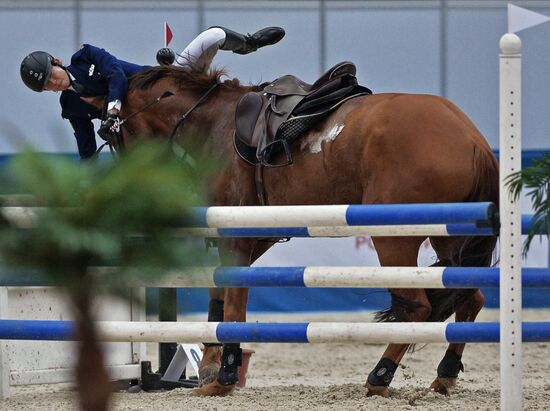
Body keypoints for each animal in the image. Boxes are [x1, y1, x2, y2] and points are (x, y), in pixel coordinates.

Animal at [110, 66, 498, 398]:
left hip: (394, 239)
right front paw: (210, 367)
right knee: (470, 298)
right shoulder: (252, 238)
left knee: (416, 307)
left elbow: (233, 304)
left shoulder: (237, 236)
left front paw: (224, 377)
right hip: (449, 238)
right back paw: (445, 374)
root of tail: (473, 139)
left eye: (114, 134)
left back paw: (380, 376)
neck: (214, 122)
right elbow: (220, 297)